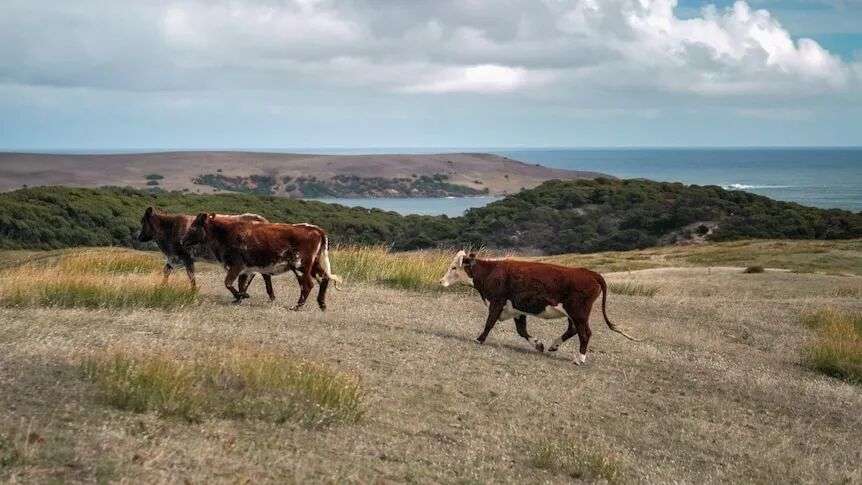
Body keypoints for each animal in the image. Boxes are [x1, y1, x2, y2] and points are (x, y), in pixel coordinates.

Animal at [137, 207, 271, 297]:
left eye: (143, 221)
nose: (139, 237)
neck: (170, 227)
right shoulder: (173, 257)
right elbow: (166, 271)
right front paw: (161, 288)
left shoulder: (186, 257)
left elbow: (191, 275)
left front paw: (193, 292)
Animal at [180, 214, 342, 310]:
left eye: (194, 226)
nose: (182, 240)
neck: (226, 232)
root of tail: (316, 230)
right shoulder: (247, 268)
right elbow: (242, 284)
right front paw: (239, 298)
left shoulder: (237, 265)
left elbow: (228, 283)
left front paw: (242, 296)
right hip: (314, 264)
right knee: (324, 278)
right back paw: (322, 304)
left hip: (300, 265)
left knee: (307, 285)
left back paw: (297, 306)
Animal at [439, 251, 640, 365]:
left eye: (454, 268)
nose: (441, 281)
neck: (491, 272)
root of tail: (589, 272)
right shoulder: (517, 309)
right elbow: (521, 331)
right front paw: (539, 345)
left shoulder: (497, 302)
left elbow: (490, 322)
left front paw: (479, 339)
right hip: (573, 313)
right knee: (573, 329)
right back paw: (553, 345)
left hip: (579, 311)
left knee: (585, 333)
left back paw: (580, 359)